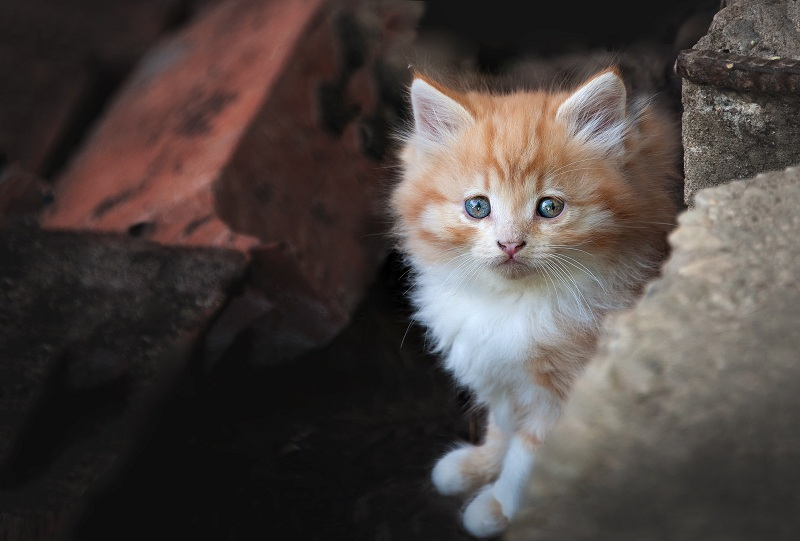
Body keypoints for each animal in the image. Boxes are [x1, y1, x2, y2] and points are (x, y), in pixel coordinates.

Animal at [388, 67, 680, 536]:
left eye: (549, 207)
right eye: (477, 206)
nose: (510, 244)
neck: (511, 302)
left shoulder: (570, 389)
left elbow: (528, 454)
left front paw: (499, 506)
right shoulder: (497, 370)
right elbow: (502, 428)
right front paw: (477, 466)